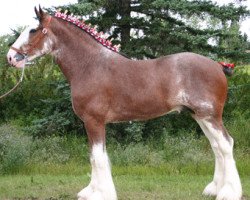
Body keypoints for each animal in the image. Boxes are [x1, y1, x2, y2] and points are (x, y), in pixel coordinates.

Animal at [7, 6, 242, 200]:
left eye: (33, 30)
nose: (10, 57)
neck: (90, 65)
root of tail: (218, 66)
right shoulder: (90, 123)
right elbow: (93, 156)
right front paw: (91, 191)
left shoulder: (94, 121)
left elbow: (98, 157)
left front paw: (100, 194)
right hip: (199, 116)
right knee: (216, 147)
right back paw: (214, 189)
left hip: (209, 116)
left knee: (225, 144)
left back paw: (229, 192)